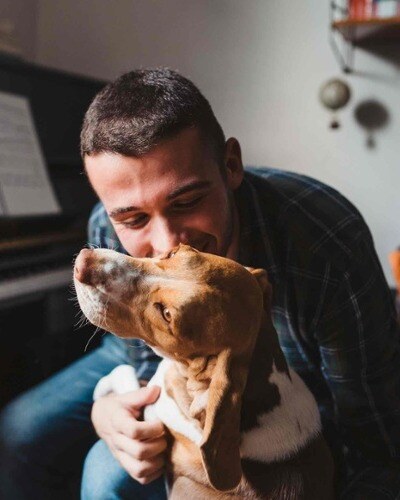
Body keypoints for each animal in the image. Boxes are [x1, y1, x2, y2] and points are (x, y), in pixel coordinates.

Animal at [72, 244, 334, 498]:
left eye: (166, 314)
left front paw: (102, 390)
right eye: (174, 252)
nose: (83, 263)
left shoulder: (154, 411)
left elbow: (125, 374)